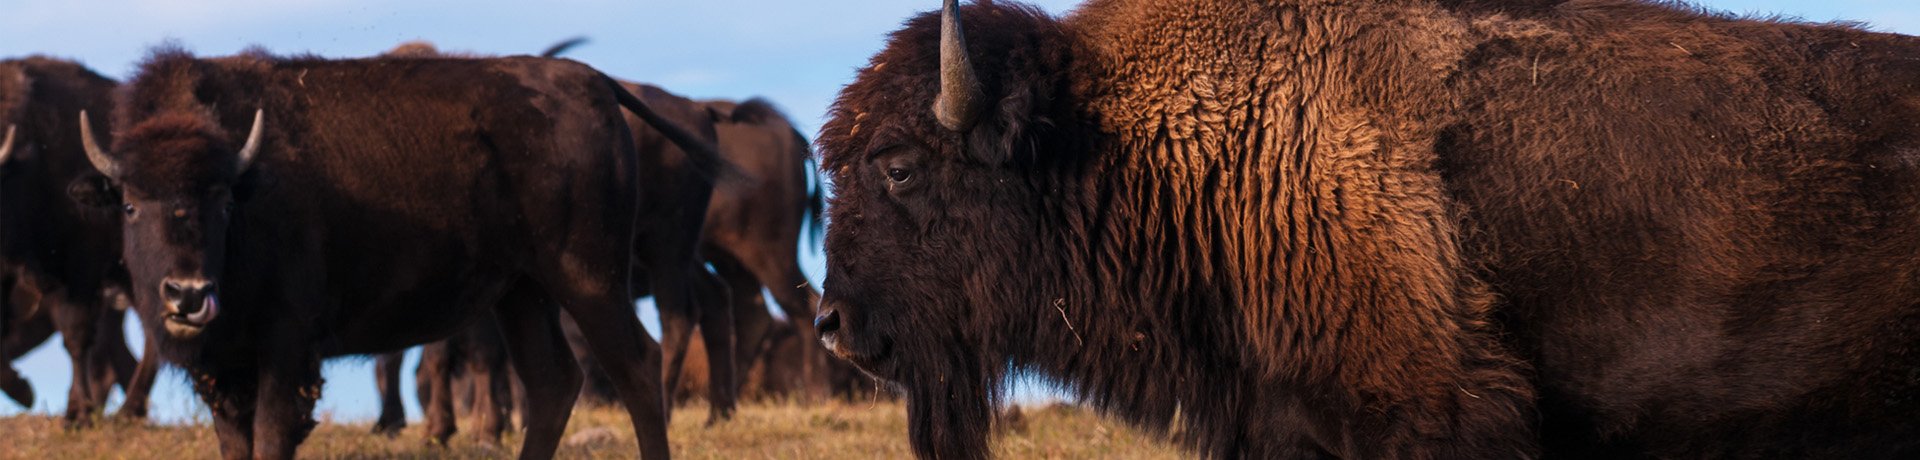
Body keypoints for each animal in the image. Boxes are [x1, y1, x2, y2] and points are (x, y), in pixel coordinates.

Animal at [78, 48, 718, 458]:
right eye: (131, 204)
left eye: (223, 202)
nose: (188, 296)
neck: (250, 173)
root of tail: (595, 82)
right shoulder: (225, 372)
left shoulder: (286, 351)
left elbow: (272, 437)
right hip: (522, 292)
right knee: (552, 381)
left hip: (589, 279)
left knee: (636, 364)